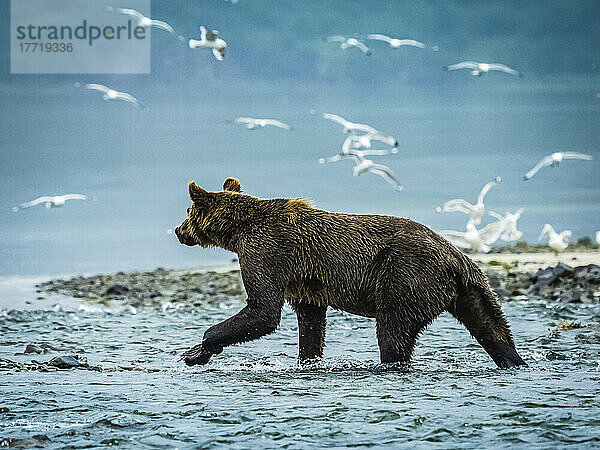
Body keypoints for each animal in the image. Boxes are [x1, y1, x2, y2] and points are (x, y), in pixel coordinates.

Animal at [176, 178, 528, 368]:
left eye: (188, 211)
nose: (179, 231)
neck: (239, 231)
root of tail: (456, 257)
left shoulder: (266, 251)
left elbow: (263, 309)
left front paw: (197, 350)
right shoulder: (305, 281)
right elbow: (310, 321)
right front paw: (308, 358)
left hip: (407, 275)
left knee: (393, 330)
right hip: (472, 288)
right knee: (491, 326)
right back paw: (514, 360)